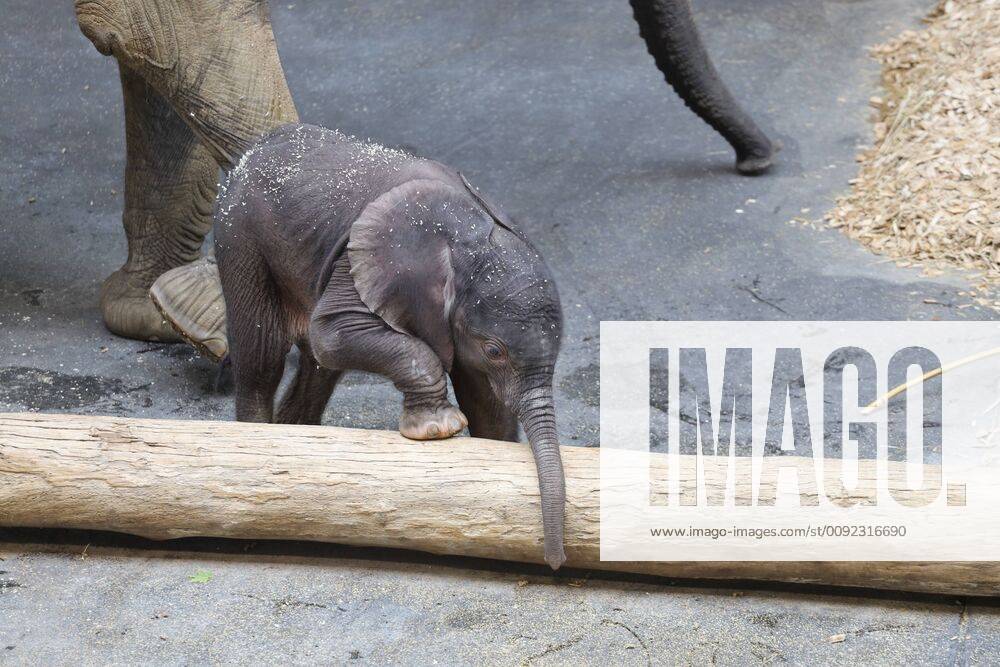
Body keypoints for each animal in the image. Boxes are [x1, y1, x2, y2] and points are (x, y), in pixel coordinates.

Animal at [215, 123, 567, 568]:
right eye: (495, 351)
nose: (555, 561)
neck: (473, 238)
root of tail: (255, 146)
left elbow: (485, 400)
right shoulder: (367, 261)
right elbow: (331, 332)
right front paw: (438, 428)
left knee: (318, 371)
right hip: (239, 234)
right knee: (263, 357)